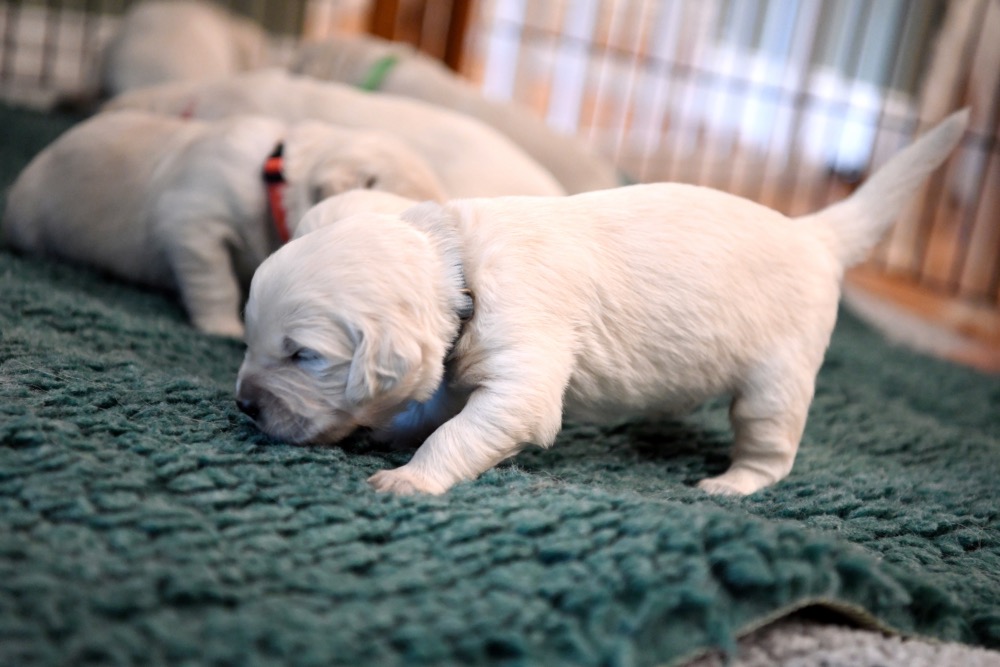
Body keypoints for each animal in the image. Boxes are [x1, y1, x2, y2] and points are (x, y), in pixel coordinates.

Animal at [234, 109, 968, 496]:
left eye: (304, 356)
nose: (243, 406)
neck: (460, 263)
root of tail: (814, 234)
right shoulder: (455, 366)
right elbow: (435, 407)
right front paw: (392, 431)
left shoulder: (523, 371)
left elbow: (460, 431)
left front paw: (409, 480)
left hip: (776, 378)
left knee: (772, 446)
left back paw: (732, 485)